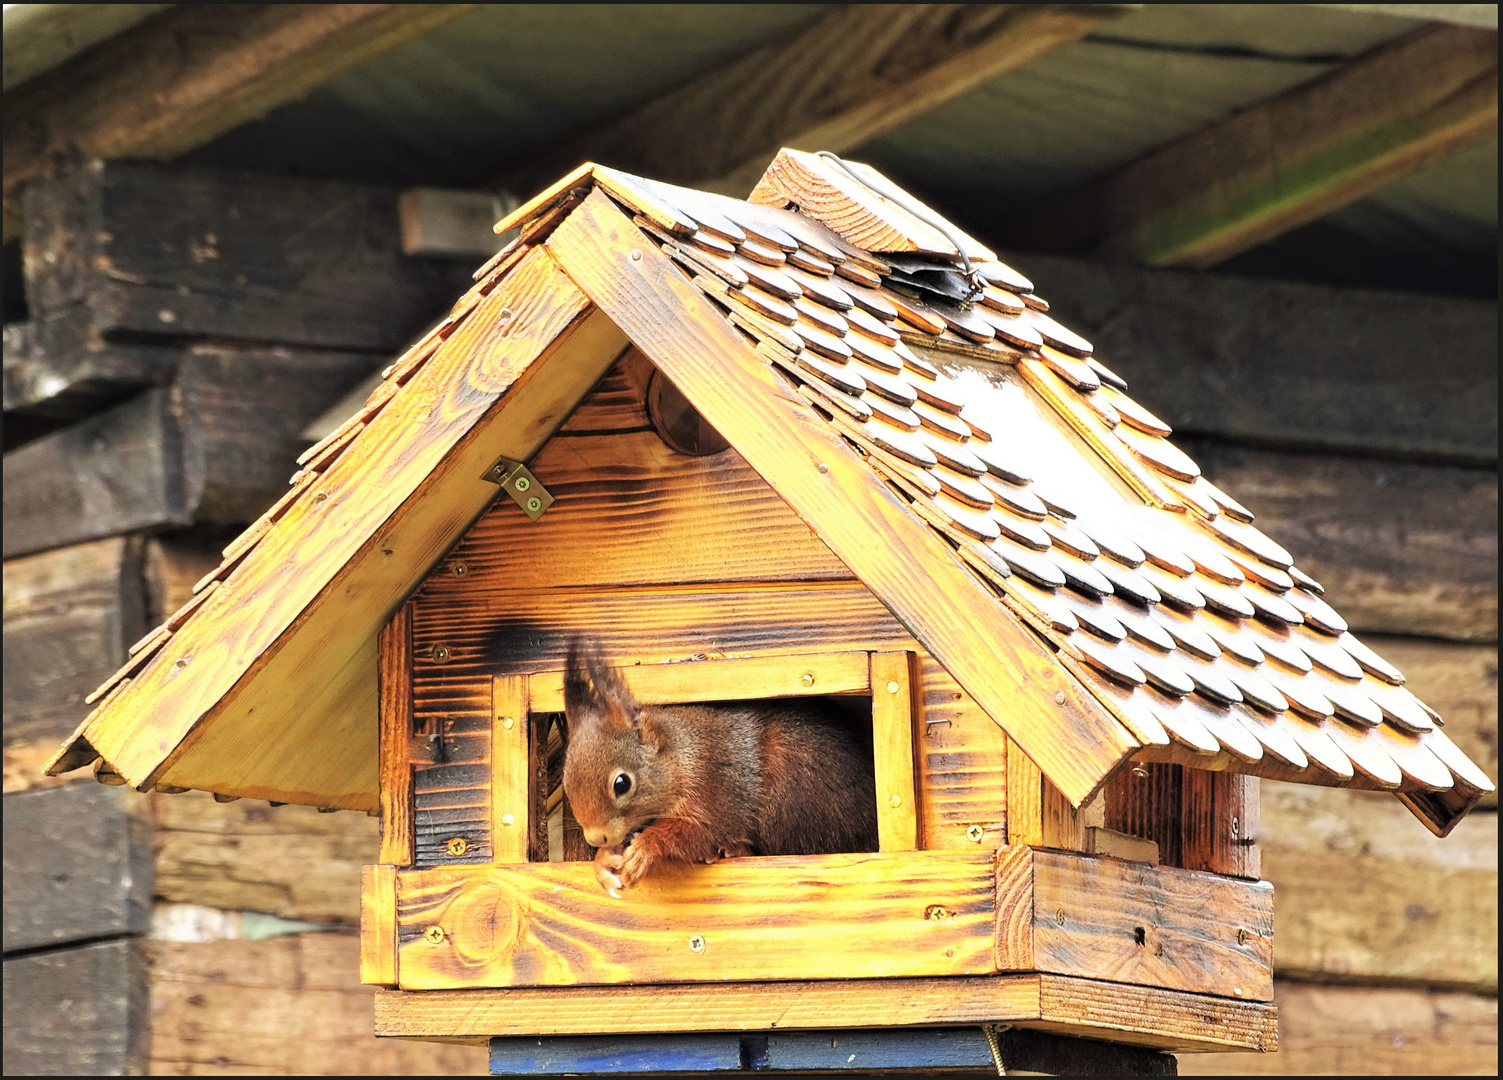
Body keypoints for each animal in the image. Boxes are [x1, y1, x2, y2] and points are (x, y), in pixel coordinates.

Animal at [559, 642, 877, 895]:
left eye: (622, 783)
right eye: (565, 782)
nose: (595, 838)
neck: (681, 759)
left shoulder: (716, 788)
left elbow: (700, 832)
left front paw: (645, 847)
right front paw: (603, 861)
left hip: (794, 797)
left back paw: (734, 850)